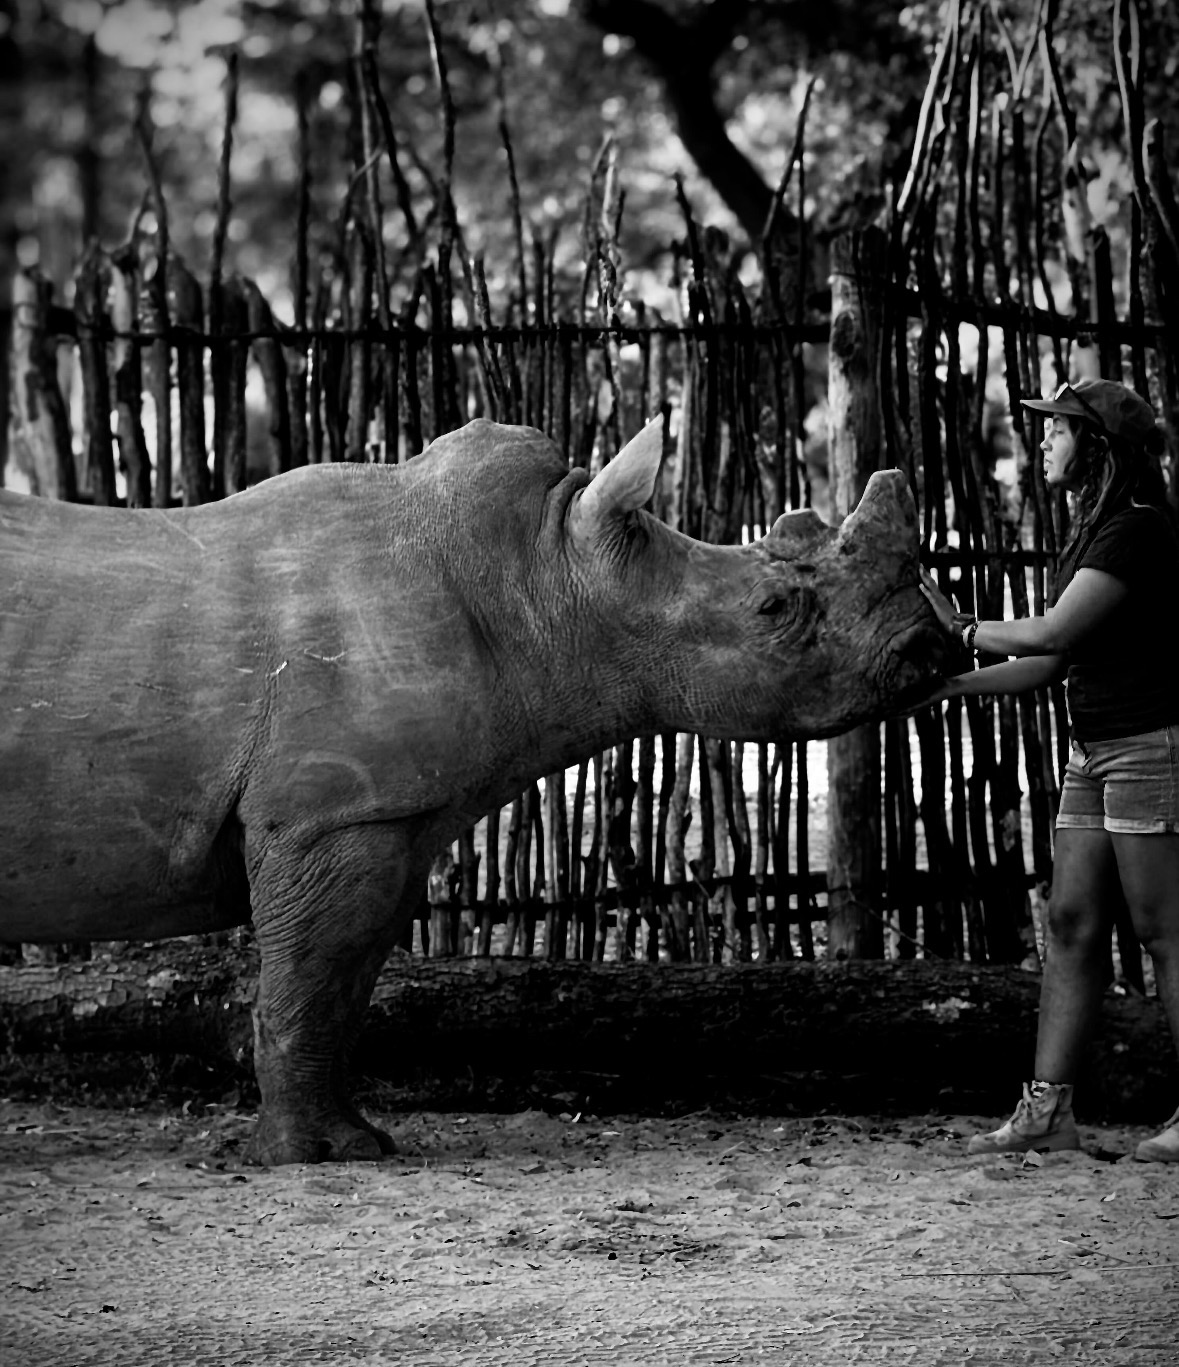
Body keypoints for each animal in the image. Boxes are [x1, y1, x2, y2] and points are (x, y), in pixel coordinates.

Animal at [1, 417, 941, 1164]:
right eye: (775, 608)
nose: (931, 643)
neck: (546, 580)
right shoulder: (327, 816)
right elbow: (306, 981)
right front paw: (312, 1158)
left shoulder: (389, 818)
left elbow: (342, 985)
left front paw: (359, 1141)